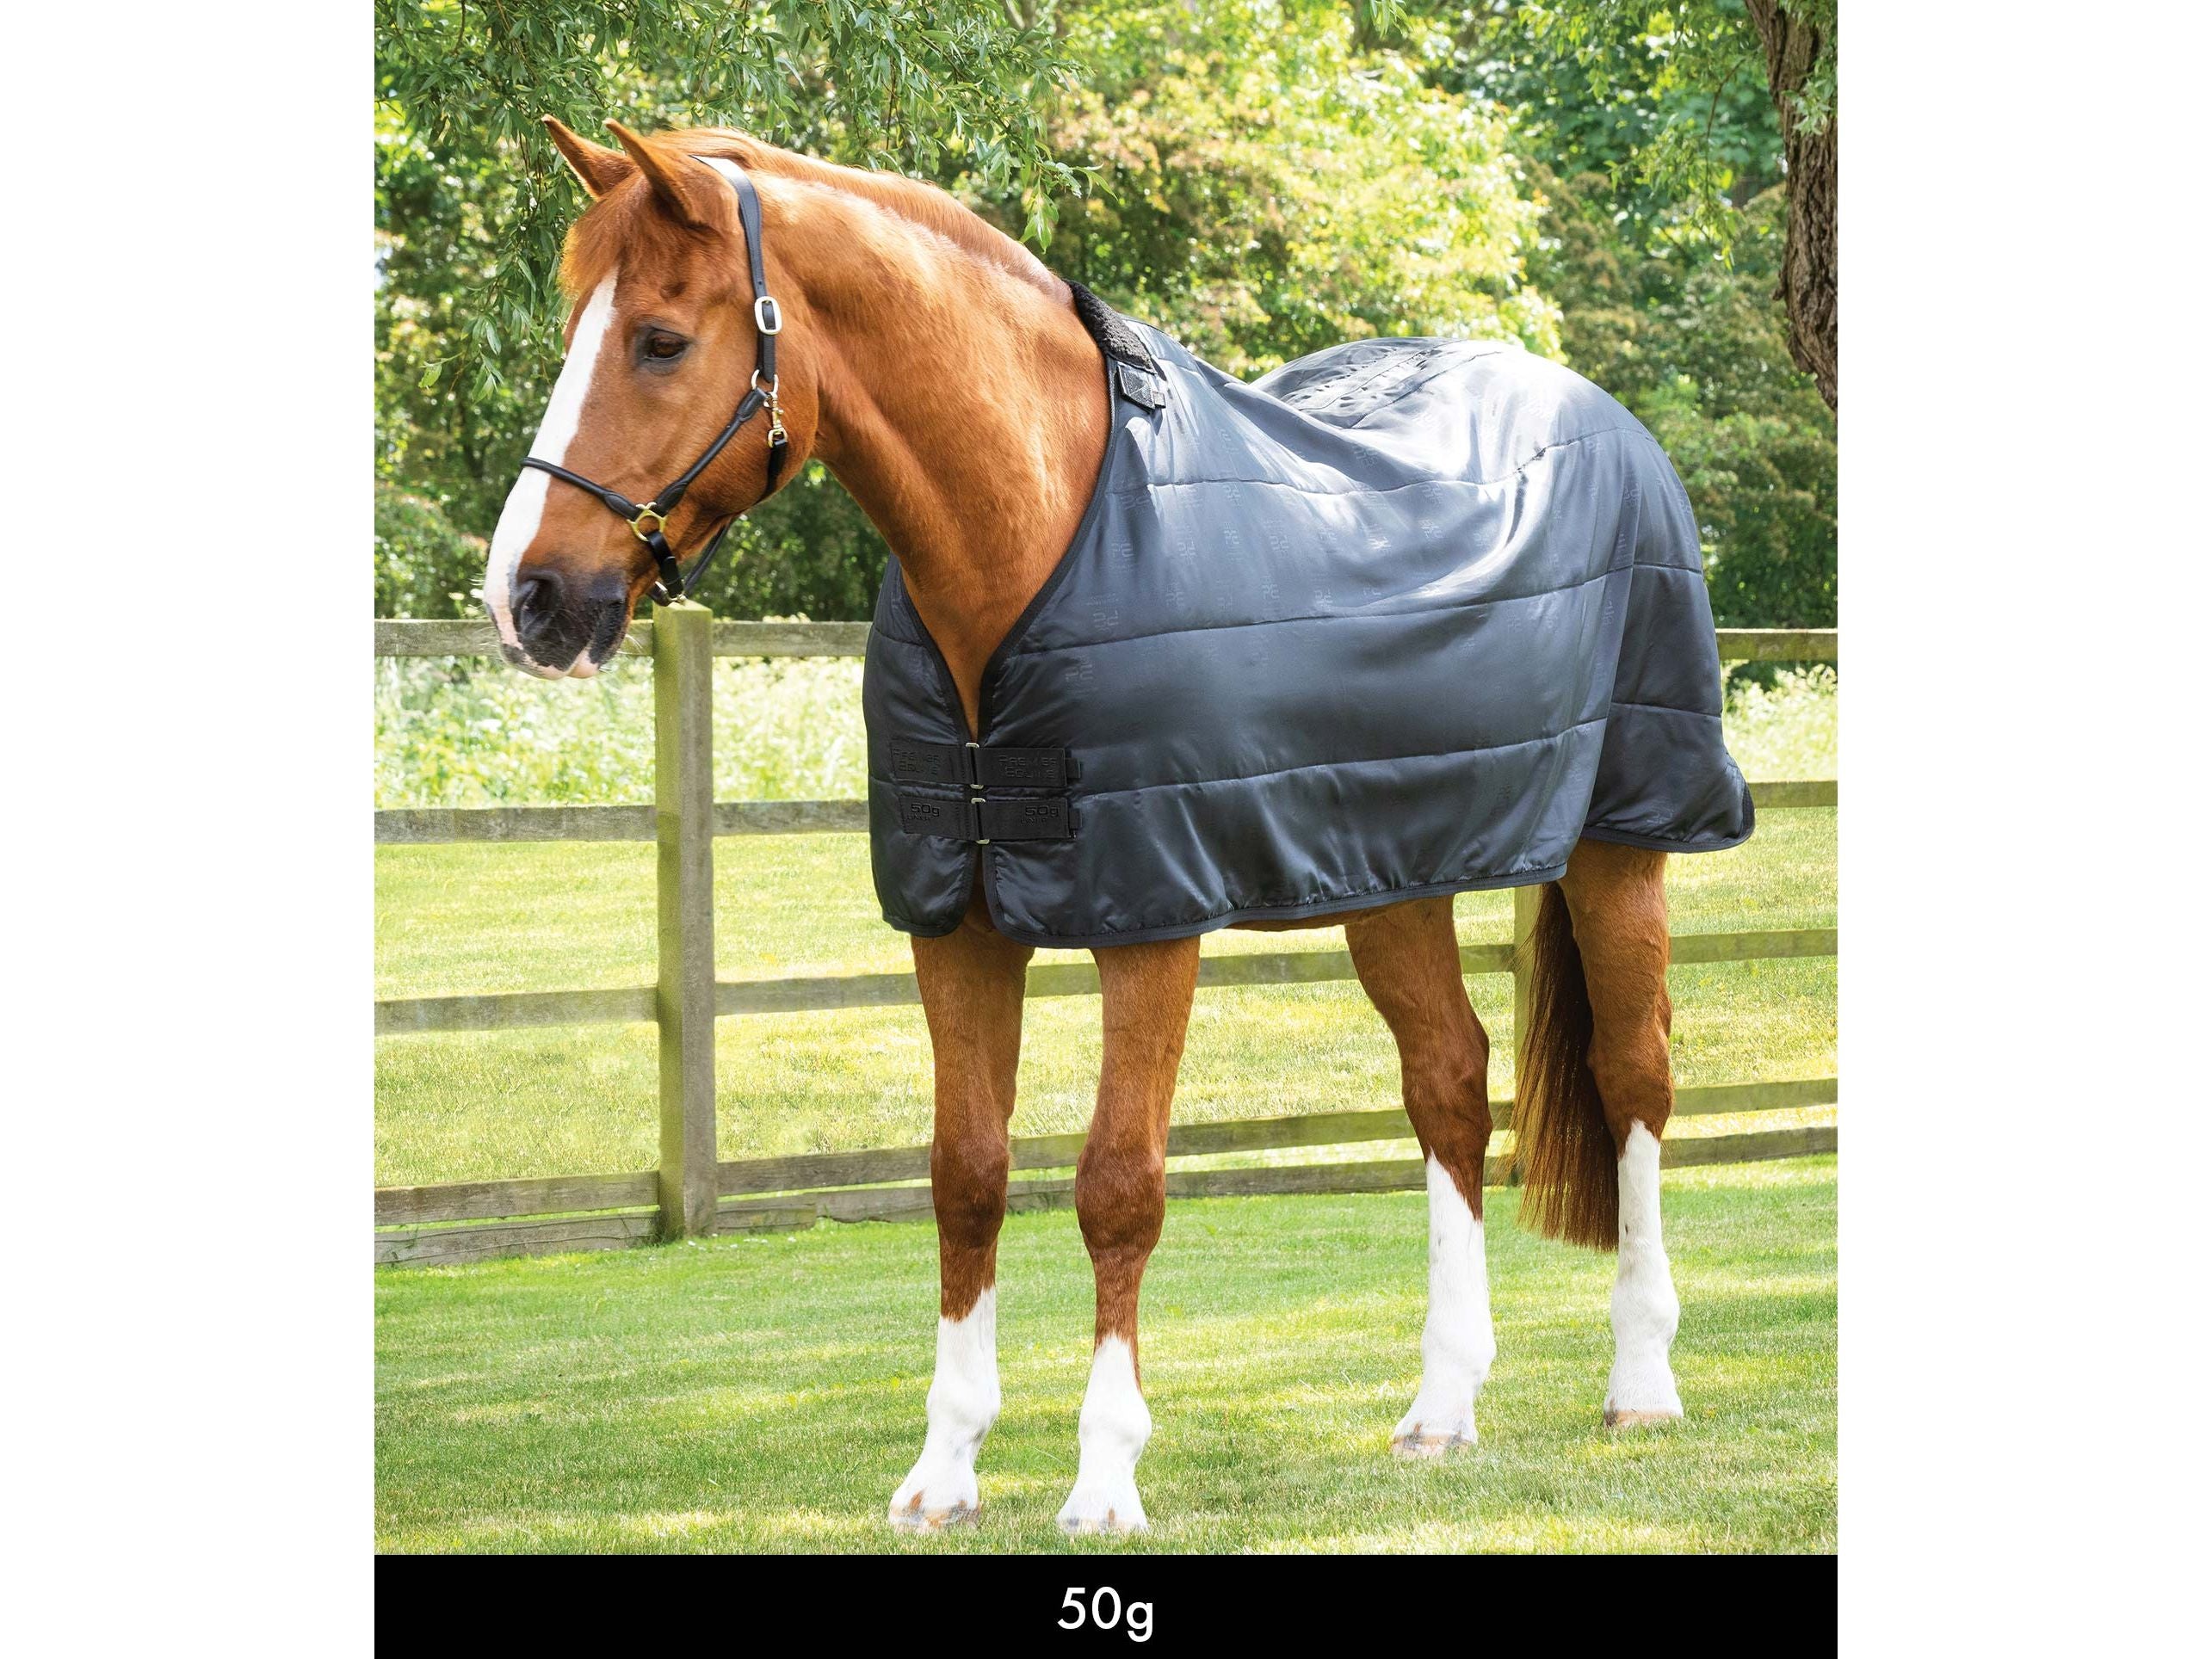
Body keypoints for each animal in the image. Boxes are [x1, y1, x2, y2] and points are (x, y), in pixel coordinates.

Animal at [486, 118, 1701, 1535]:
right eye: (578, 323)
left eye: (661, 340)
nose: (526, 598)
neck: (1039, 531)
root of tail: (1603, 418)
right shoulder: (954, 921)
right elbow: (965, 1173)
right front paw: (943, 1469)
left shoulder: (1149, 914)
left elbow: (1117, 1185)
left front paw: (1105, 1475)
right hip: (1395, 872)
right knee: (1449, 1086)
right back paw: (1441, 1408)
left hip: (1621, 841)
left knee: (1633, 1078)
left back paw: (1640, 1384)